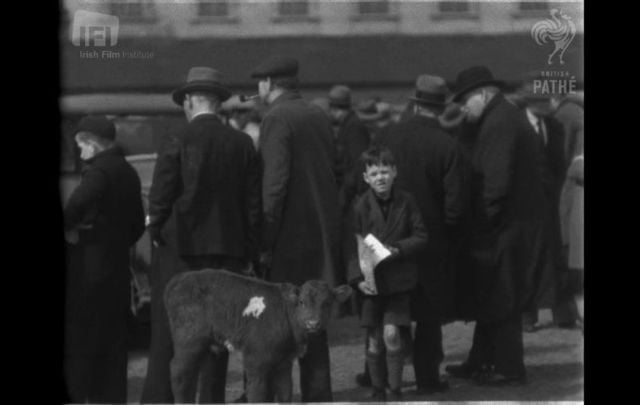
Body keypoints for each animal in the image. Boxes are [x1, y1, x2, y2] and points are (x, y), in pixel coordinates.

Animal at [165, 266, 350, 402]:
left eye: (327, 303)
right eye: (302, 302)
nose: (312, 323)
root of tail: (179, 279)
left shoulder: (284, 361)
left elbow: (285, 392)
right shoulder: (256, 359)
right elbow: (257, 392)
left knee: (192, 373)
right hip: (189, 340)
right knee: (178, 371)